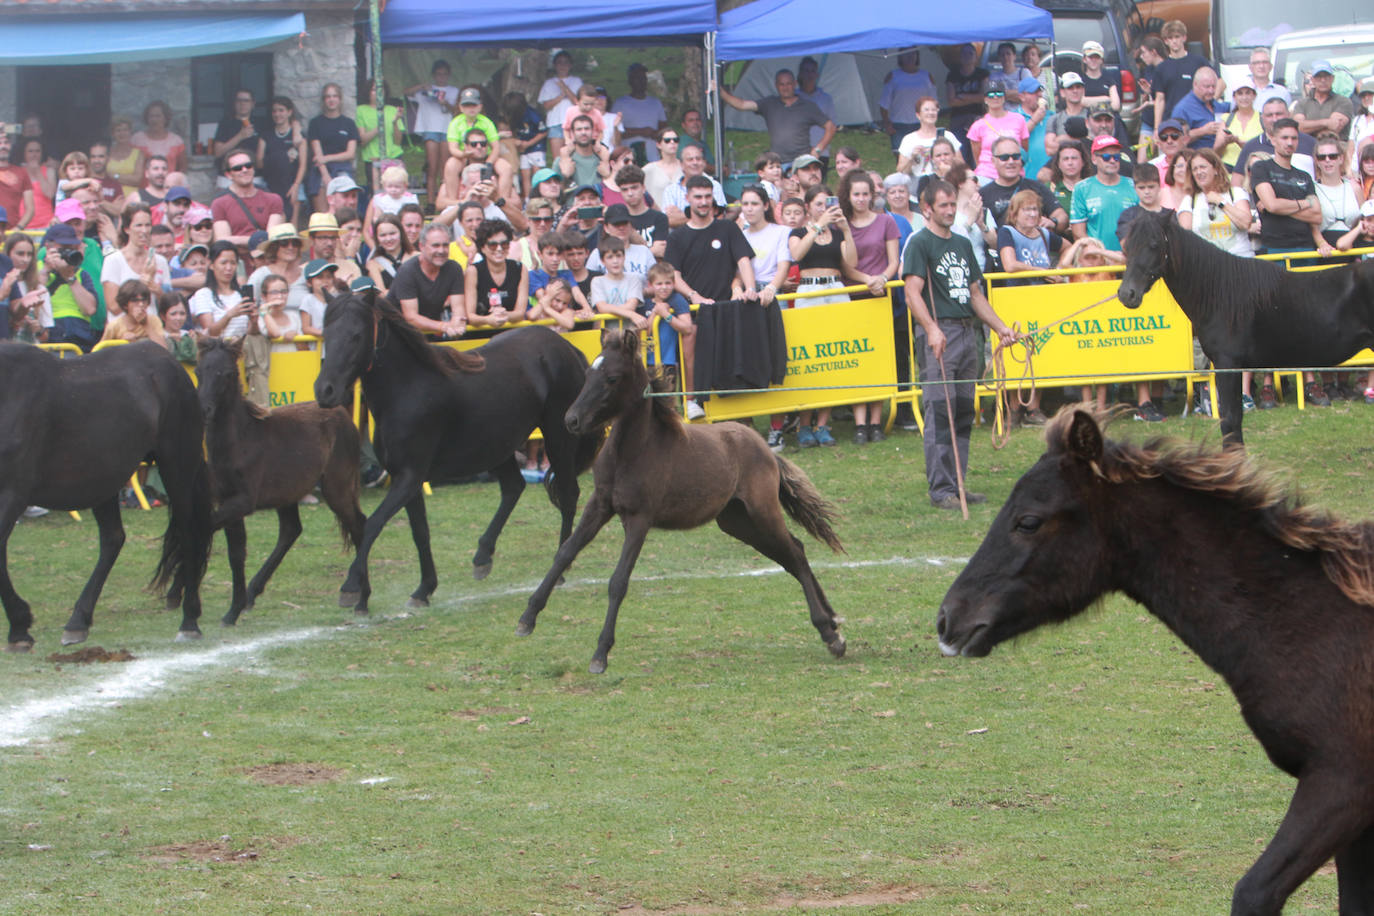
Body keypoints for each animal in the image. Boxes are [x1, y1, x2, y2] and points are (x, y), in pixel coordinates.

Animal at [0, 341, 212, 648]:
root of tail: (170, 362)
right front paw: (20, 625)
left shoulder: (12, 495)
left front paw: (19, 626)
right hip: (103, 481)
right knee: (114, 539)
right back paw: (78, 621)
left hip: (177, 466)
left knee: (188, 533)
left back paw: (190, 621)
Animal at [192, 338, 365, 627]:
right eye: (198, 370)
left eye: (228, 373)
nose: (204, 410)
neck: (240, 440)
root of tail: (343, 414)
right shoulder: (228, 500)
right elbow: (236, 553)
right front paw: (233, 611)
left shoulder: (243, 501)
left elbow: (207, 531)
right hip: (288, 493)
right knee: (291, 530)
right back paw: (252, 593)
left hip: (337, 487)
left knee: (358, 525)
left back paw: (360, 598)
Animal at [313, 291, 602, 614]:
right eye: (326, 334)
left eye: (356, 335)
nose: (325, 391)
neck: (408, 389)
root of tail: (567, 347)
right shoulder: (407, 479)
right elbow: (420, 532)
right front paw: (422, 590)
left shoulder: (409, 477)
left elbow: (373, 523)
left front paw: (351, 588)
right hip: (496, 446)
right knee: (514, 487)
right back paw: (482, 557)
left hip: (556, 437)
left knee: (567, 494)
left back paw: (559, 569)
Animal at [515, 328, 847, 674]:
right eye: (588, 374)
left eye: (612, 378)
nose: (572, 420)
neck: (631, 451)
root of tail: (765, 450)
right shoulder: (600, 505)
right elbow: (565, 552)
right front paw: (527, 618)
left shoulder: (639, 519)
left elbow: (618, 581)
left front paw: (600, 654)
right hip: (737, 522)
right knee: (793, 552)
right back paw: (833, 623)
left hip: (762, 512)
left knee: (794, 554)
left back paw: (830, 633)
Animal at [1116, 209, 1374, 446]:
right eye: (1127, 246)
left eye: (1153, 244)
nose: (1127, 294)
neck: (1219, 293)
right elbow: (1234, 420)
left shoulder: (1228, 364)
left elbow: (1230, 420)